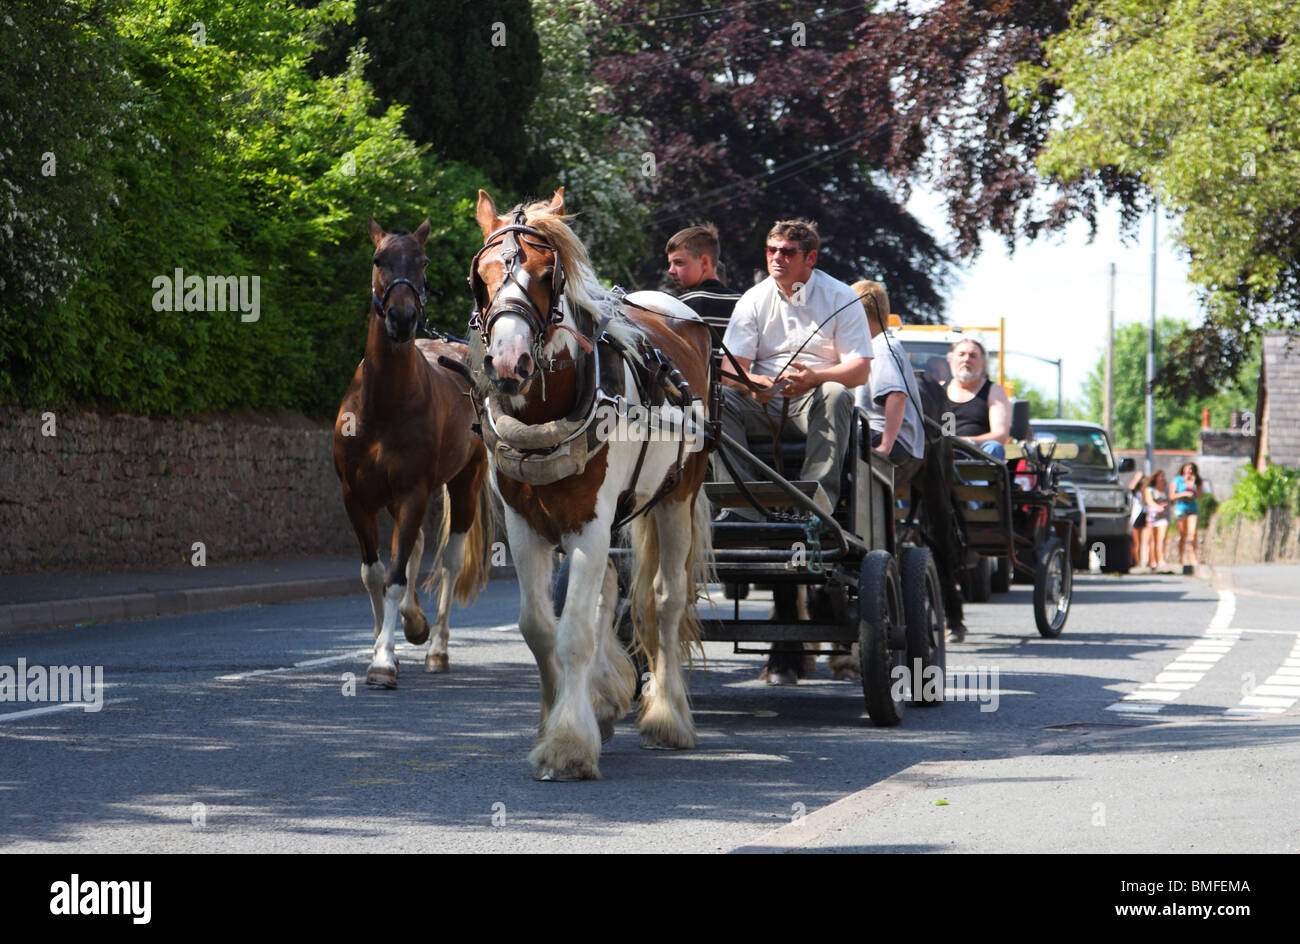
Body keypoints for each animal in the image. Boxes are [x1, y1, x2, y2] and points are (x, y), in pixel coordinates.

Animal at [333, 217, 496, 687]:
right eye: (378, 259)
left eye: (422, 262)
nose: (403, 318)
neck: (383, 405)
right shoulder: (357, 498)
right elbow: (374, 574)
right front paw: (381, 642)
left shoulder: (412, 493)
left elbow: (393, 577)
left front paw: (384, 661)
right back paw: (414, 623)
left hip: (464, 484)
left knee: (449, 562)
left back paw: (436, 647)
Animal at [468, 188, 713, 781]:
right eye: (481, 275)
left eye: (546, 274)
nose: (508, 363)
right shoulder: (525, 525)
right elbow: (539, 628)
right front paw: (556, 718)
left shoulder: (590, 523)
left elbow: (574, 630)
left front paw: (567, 744)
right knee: (607, 594)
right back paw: (603, 699)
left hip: (676, 497)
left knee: (666, 600)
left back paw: (668, 717)